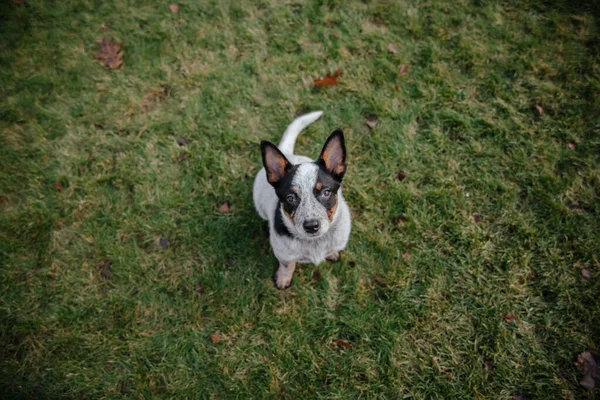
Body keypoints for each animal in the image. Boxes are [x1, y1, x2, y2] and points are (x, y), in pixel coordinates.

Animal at [252, 111, 352, 290]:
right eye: (290, 198)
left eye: (326, 192)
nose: (311, 226)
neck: (315, 243)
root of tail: (287, 153)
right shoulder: (283, 255)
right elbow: (287, 265)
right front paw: (283, 279)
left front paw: (332, 253)